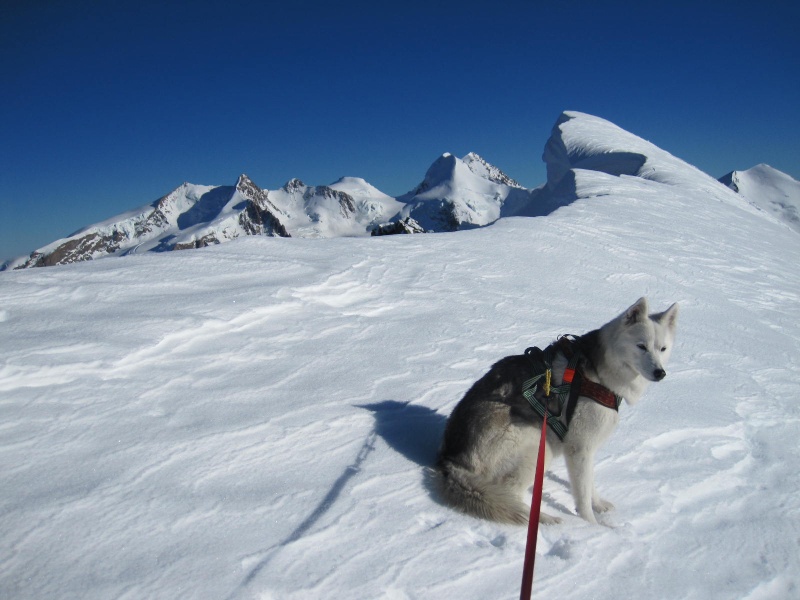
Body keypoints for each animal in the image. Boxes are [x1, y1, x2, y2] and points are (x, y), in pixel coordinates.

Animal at [434, 298, 680, 524]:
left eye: (663, 349)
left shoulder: (586, 449)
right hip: (537, 443)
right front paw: (591, 526)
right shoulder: (578, 448)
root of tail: (450, 460)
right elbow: (582, 496)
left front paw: (599, 506)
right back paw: (547, 520)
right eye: (641, 346)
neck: (599, 373)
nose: (660, 373)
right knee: (512, 496)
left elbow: (589, 485)